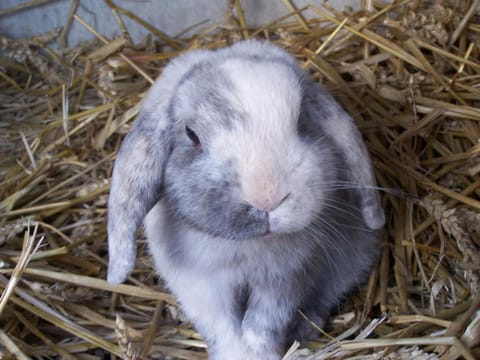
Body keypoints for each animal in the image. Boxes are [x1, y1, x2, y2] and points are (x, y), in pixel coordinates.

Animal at [107, 40, 384, 360]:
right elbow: (223, 328)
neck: (246, 248)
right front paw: (237, 354)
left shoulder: (286, 280)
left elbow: (263, 324)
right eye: (191, 134)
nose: (267, 197)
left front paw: (260, 353)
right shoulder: (202, 288)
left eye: (303, 121)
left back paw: (306, 329)